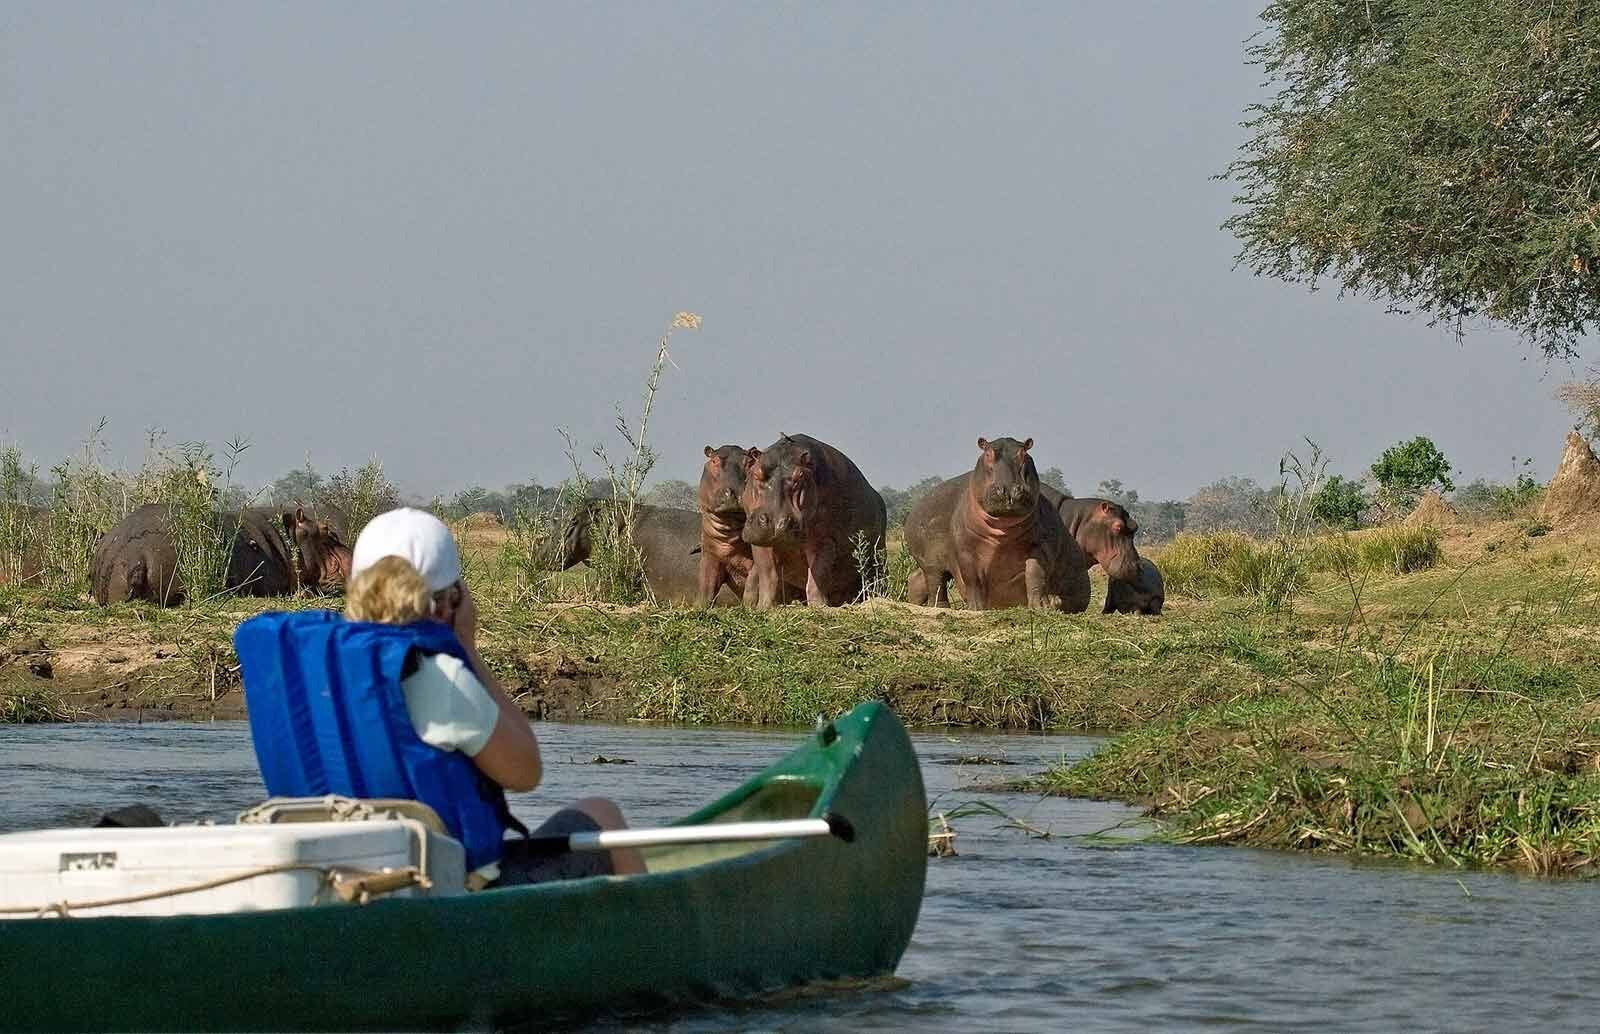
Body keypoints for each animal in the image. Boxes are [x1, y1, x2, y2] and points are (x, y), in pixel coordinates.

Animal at [740, 434, 887, 608]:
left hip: (878, 560)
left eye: (800, 477)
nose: (777, 522)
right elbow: (767, 574)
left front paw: (819, 606)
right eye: (756, 474)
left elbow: (817, 575)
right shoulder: (759, 541)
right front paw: (764, 607)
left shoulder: (824, 540)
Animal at [904, 437, 1075, 611]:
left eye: (1024, 453)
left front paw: (1042, 607)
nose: (1009, 490)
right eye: (987, 453)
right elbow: (972, 579)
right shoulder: (966, 550)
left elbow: (1036, 572)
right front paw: (976, 608)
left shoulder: (1041, 544)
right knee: (936, 582)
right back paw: (941, 607)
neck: (1003, 527)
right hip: (930, 562)